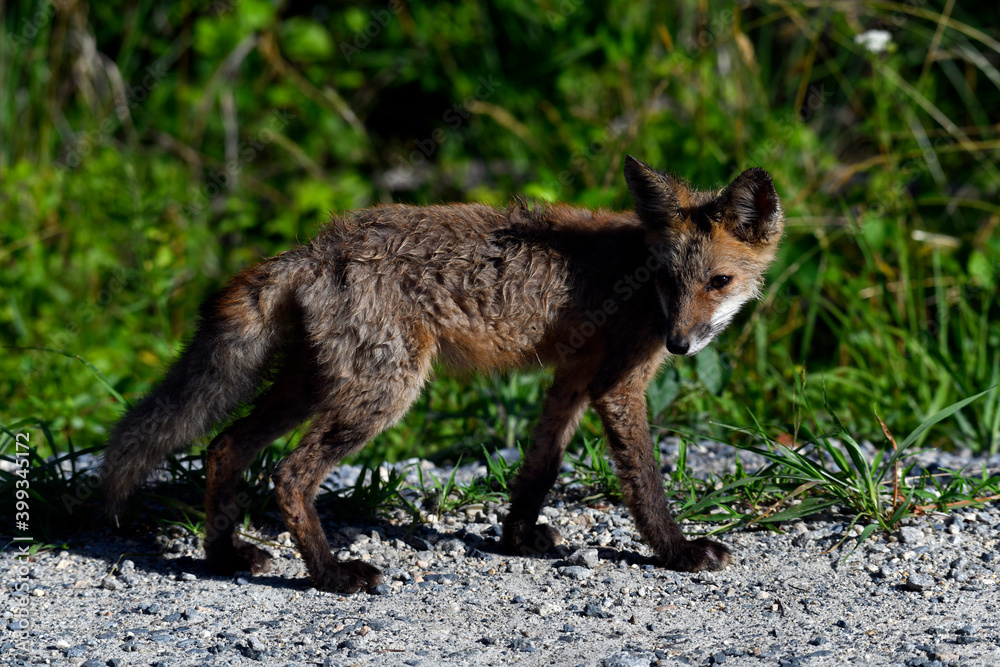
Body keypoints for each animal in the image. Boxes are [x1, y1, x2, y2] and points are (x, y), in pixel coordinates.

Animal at [101, 156, 783, 593]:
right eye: (668, 281)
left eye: (718, 281)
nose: (680, 343)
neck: (636, 280)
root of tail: (314, 246)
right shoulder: (617, 385)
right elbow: (645, 485)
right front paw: (678, 552)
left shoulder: (572, 379)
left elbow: (538, 469)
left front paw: (516, 539)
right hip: (383, 393)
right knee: (290, 475)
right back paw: (331, 576)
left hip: (312, 386)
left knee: (222, 447)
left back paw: (222, 556)